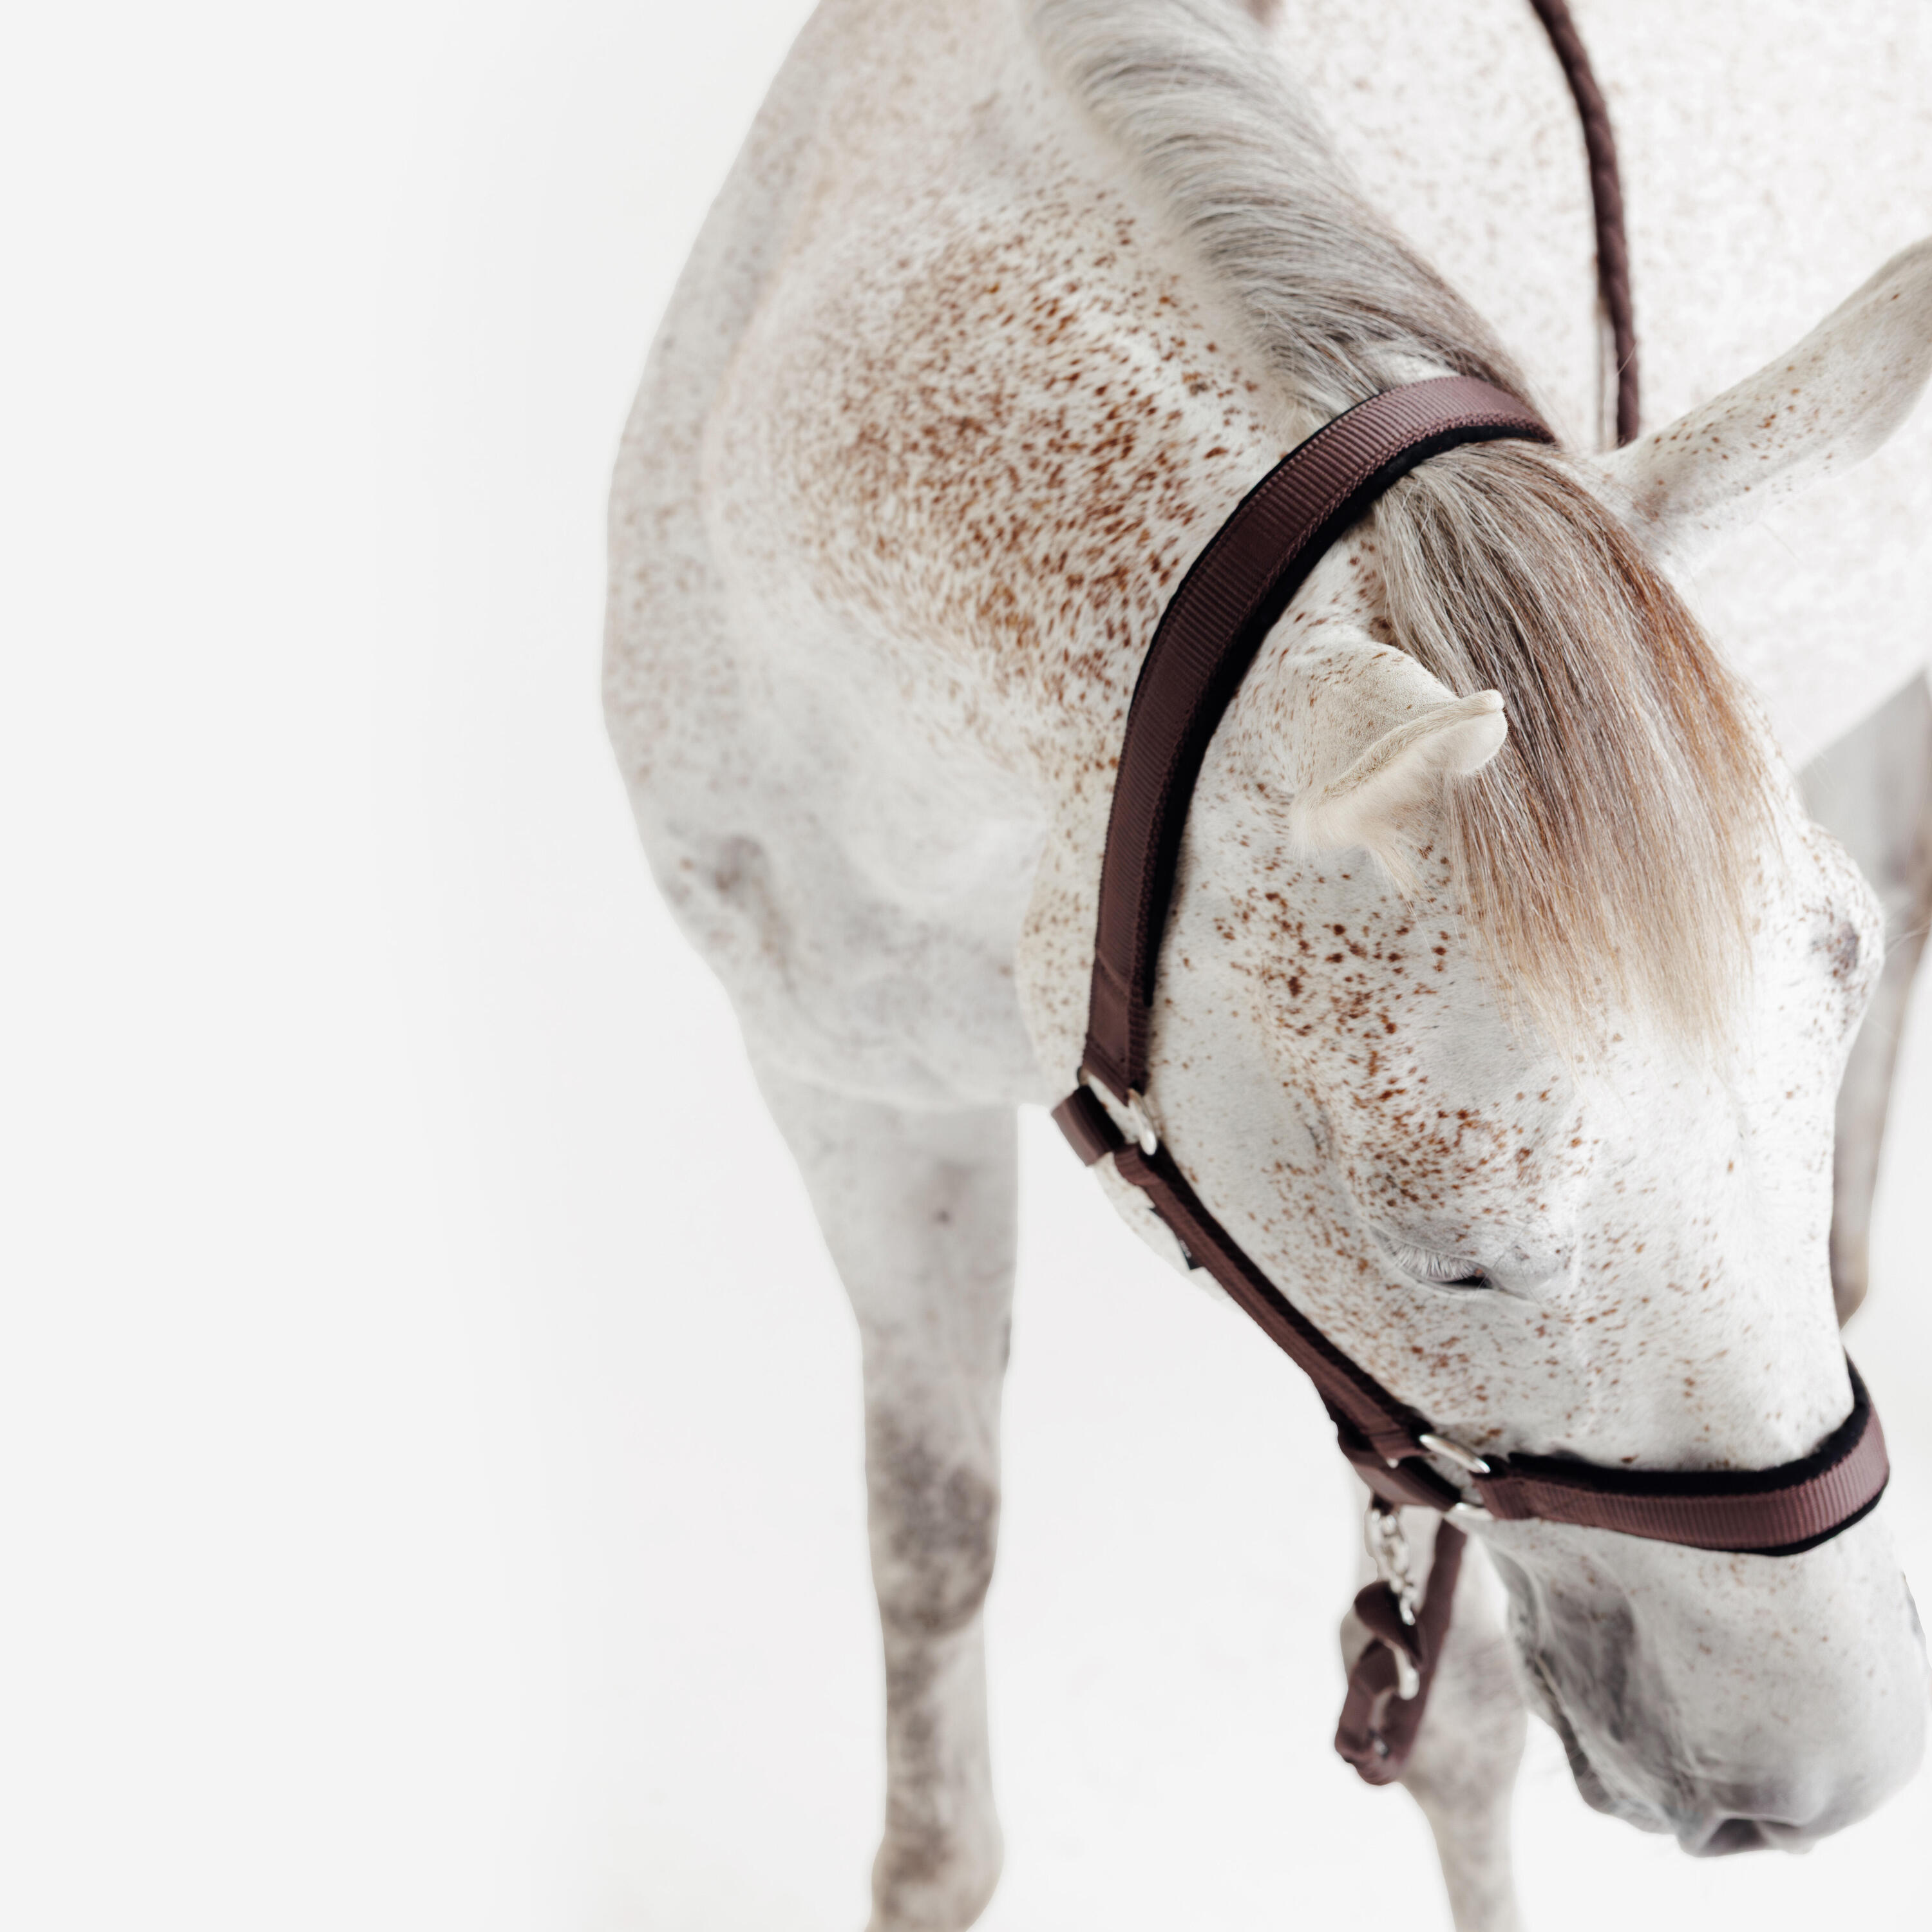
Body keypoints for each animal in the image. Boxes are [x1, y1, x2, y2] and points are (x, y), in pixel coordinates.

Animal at [603, 2, 1932, 1925]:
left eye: (1812, 1030)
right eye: (1447, 1252)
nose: (1825, 1774)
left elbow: (1458, 1734)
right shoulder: (845, 1089)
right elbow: (929, 1547)